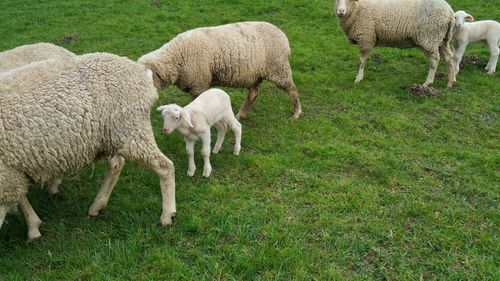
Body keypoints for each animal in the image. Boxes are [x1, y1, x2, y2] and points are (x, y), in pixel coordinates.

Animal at [0, 53, 177, 241]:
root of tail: (140, 72)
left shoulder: (6, 175)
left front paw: (32, 228)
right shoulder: (13, 172)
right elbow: (21, 198)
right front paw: (33, 226)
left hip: (130, 130)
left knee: (164, 166)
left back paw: (167, 216)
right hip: (109, 137)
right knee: (116, 164)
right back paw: (97, 206)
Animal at [138, 21, 300, 119]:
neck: (177, 56)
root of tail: (284, 37)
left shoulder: (199, 84)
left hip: (278, 68)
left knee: (292, 89)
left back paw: (296, 113)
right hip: (255, 74)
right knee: (254, 93)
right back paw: (240, 115)